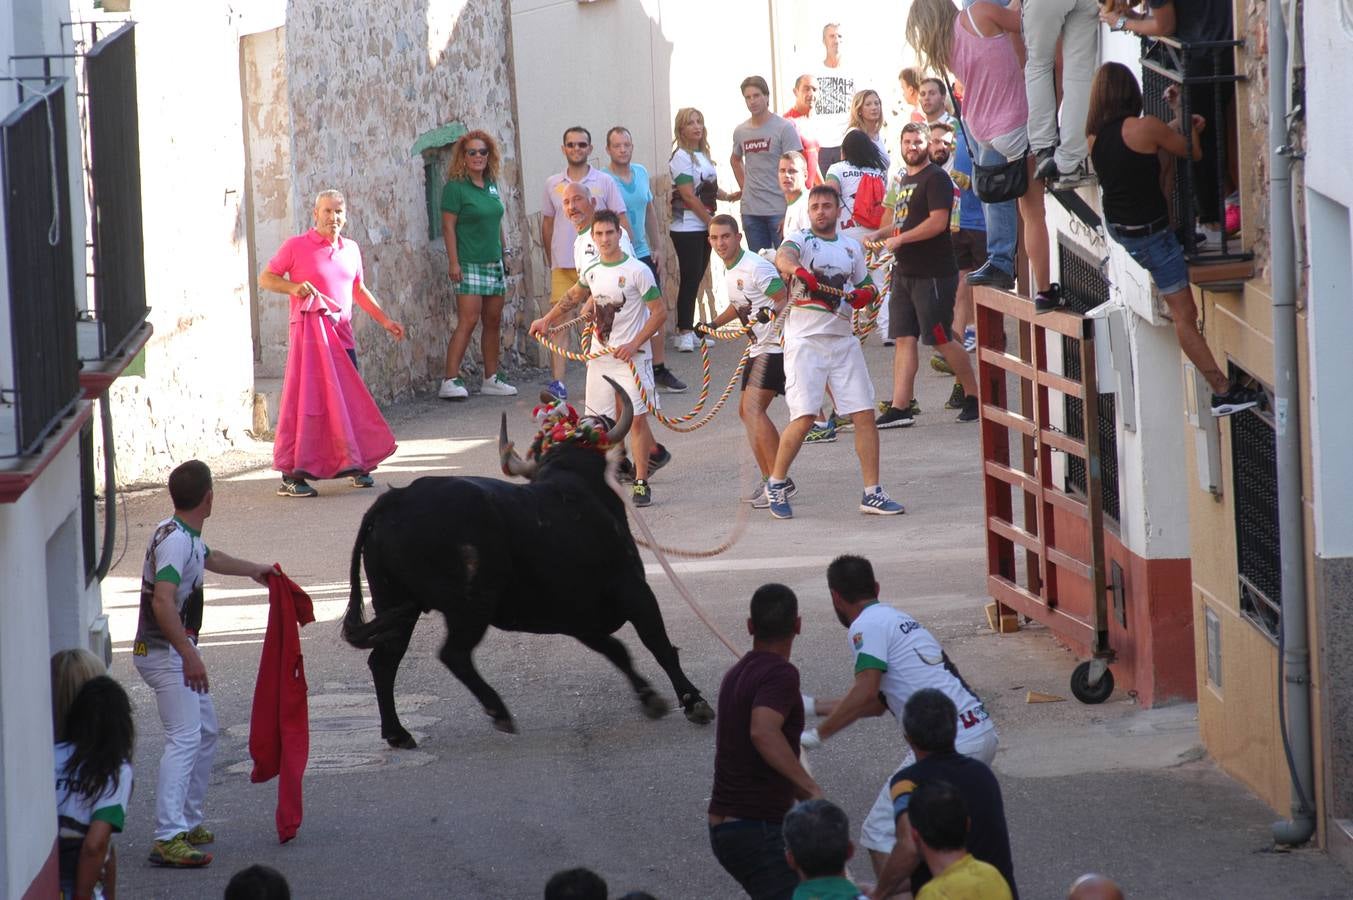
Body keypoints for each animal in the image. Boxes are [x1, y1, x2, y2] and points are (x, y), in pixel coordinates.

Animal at [343, 378, 714, 741]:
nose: (629, 467)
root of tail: (394, 500)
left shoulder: (577, 617)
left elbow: (617, 651)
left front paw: (649, 697)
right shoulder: (633, 591)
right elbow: (658, 645)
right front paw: (694, 702)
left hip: (395, 603)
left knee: (384, 660)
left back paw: (397, 733)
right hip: (470, 606)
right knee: (452, 654)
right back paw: (498, 712)